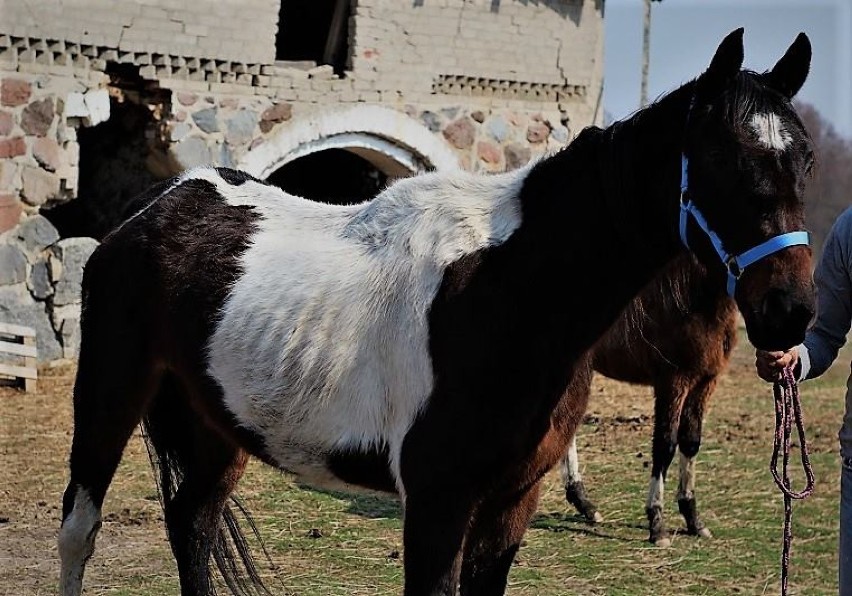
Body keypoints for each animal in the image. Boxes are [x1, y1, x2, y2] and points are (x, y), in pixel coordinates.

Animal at [560, 251, 740, 544]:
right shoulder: (673, 382)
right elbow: (665, 445)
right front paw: (657, 524)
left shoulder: (704, 382)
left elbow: (690, 442)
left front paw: (694, 520)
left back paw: (585, 504)